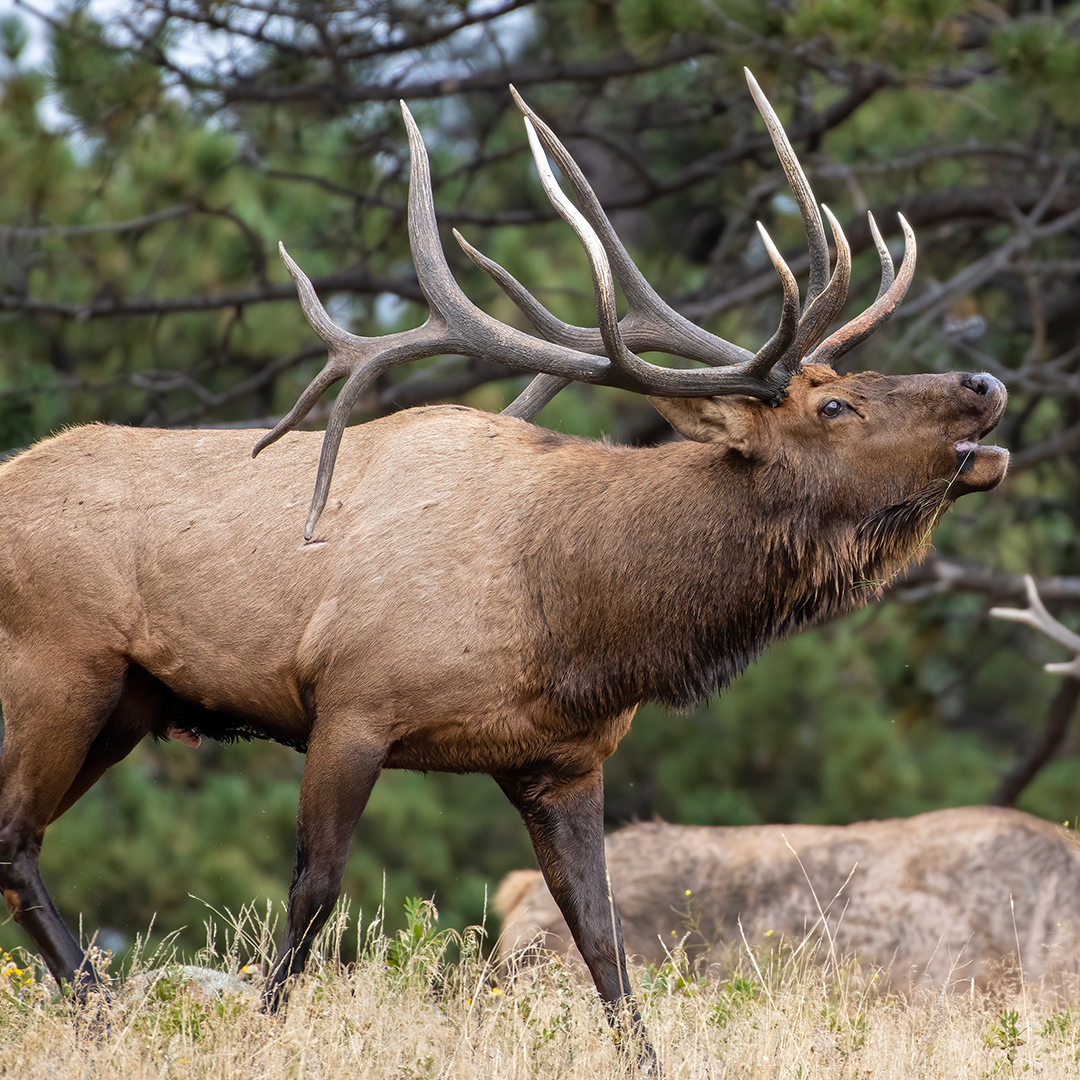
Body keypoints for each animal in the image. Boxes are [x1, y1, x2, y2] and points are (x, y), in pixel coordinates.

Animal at [0, 71, 1007, 1070]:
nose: (985, 383)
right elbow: (314, 892)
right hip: (59, 669)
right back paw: (102, 1013)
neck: (570, 612)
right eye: (833, 406)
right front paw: (258, 1035)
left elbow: (601, 937)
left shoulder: (561, 760)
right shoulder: (351, 703)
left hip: (130, 704)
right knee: (15, 840)